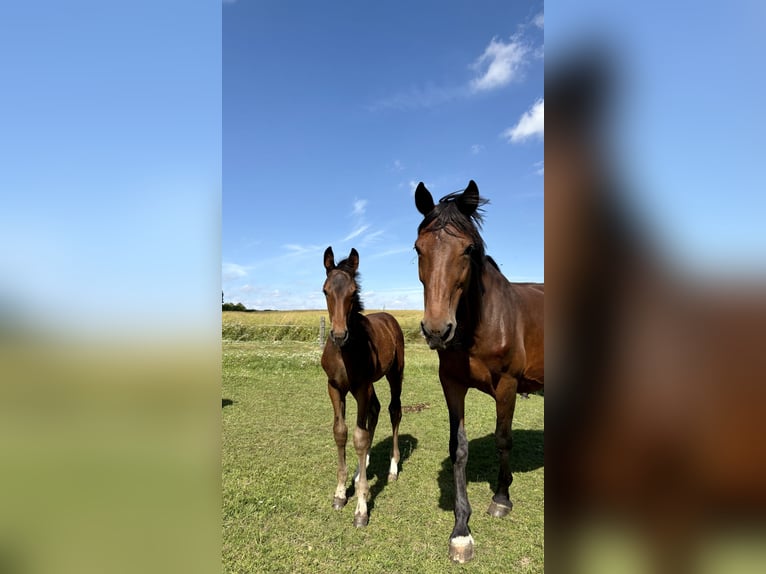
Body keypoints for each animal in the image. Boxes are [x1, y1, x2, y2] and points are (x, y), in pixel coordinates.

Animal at [320, 246, 405, 528]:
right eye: (325, 290)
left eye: (352, 292)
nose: (338, 335)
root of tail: (389, 317)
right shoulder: (335, 387)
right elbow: (341, 432)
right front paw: (340, 493)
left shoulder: (360, 388)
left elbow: (359, 437)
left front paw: (361, 508)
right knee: (375, 411)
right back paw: (361, 469)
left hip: (393, 375)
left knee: (393, 411)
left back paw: (392, 468)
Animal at [413, 180, 544, 563]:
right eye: (418, 248)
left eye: (468, 249)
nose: (437, 329)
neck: (480, 324)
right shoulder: (452, 384)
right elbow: (458, 448)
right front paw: (461, 530)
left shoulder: (508, 385)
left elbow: (503, 439)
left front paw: (501, 498)